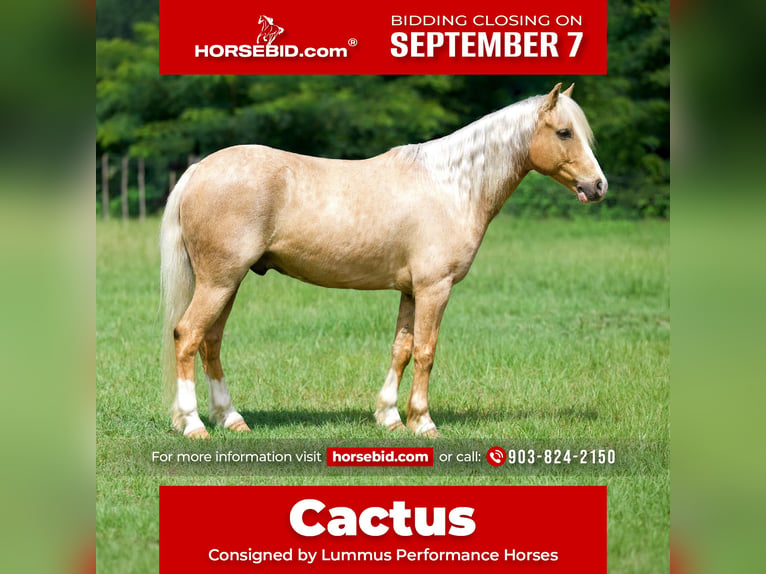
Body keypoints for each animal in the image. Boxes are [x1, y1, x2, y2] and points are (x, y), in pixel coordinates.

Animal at [160, 83, 607, 438]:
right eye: (564, 132)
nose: (598, 186)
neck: (451, 186)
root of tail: (198, 169)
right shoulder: (434, 288)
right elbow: (426, 351)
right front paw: (423, 423)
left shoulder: (410, 291)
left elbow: (401, 350)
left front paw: (390, 417)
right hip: (219, 281)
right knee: (188, 336)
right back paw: (194, 424)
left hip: (227, 283)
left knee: (211, 343)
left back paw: (231, 419)